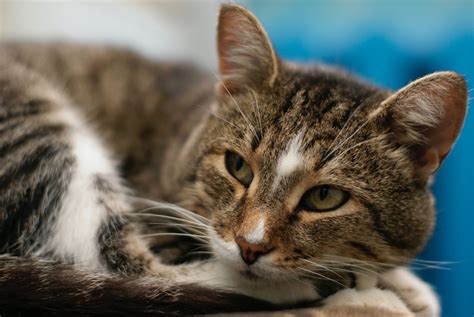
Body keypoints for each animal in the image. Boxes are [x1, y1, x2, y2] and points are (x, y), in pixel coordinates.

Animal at [0, 3, 466, 316]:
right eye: (237, 166)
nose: (249, 246)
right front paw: (386, 283)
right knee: (130, 268)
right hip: (40, 128)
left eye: (325, 197)